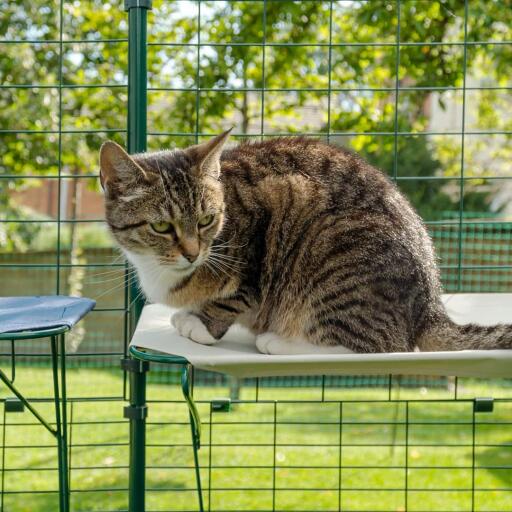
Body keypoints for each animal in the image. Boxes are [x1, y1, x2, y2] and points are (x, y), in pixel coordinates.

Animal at [100, 132, 512, 354]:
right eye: (161, 226)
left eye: (206, 220)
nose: (191, 253)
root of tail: (430, 303)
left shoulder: (263, 226)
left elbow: (236, 295)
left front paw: (200, 324)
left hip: (337, 259)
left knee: (374, 345)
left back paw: (278, 343)